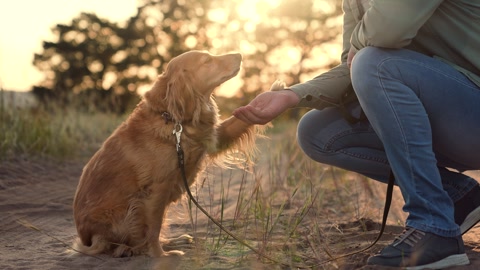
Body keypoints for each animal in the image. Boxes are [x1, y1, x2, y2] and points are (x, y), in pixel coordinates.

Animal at [72, 50, 258, 258]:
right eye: (207, 61)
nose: (240, 55)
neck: (172, 119)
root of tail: (87, 238)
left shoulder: (214, 138)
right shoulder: (156, 190)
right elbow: (153, 229)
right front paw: (160, 255)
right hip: (127, 213)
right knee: (124, 242)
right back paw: (131, 249)